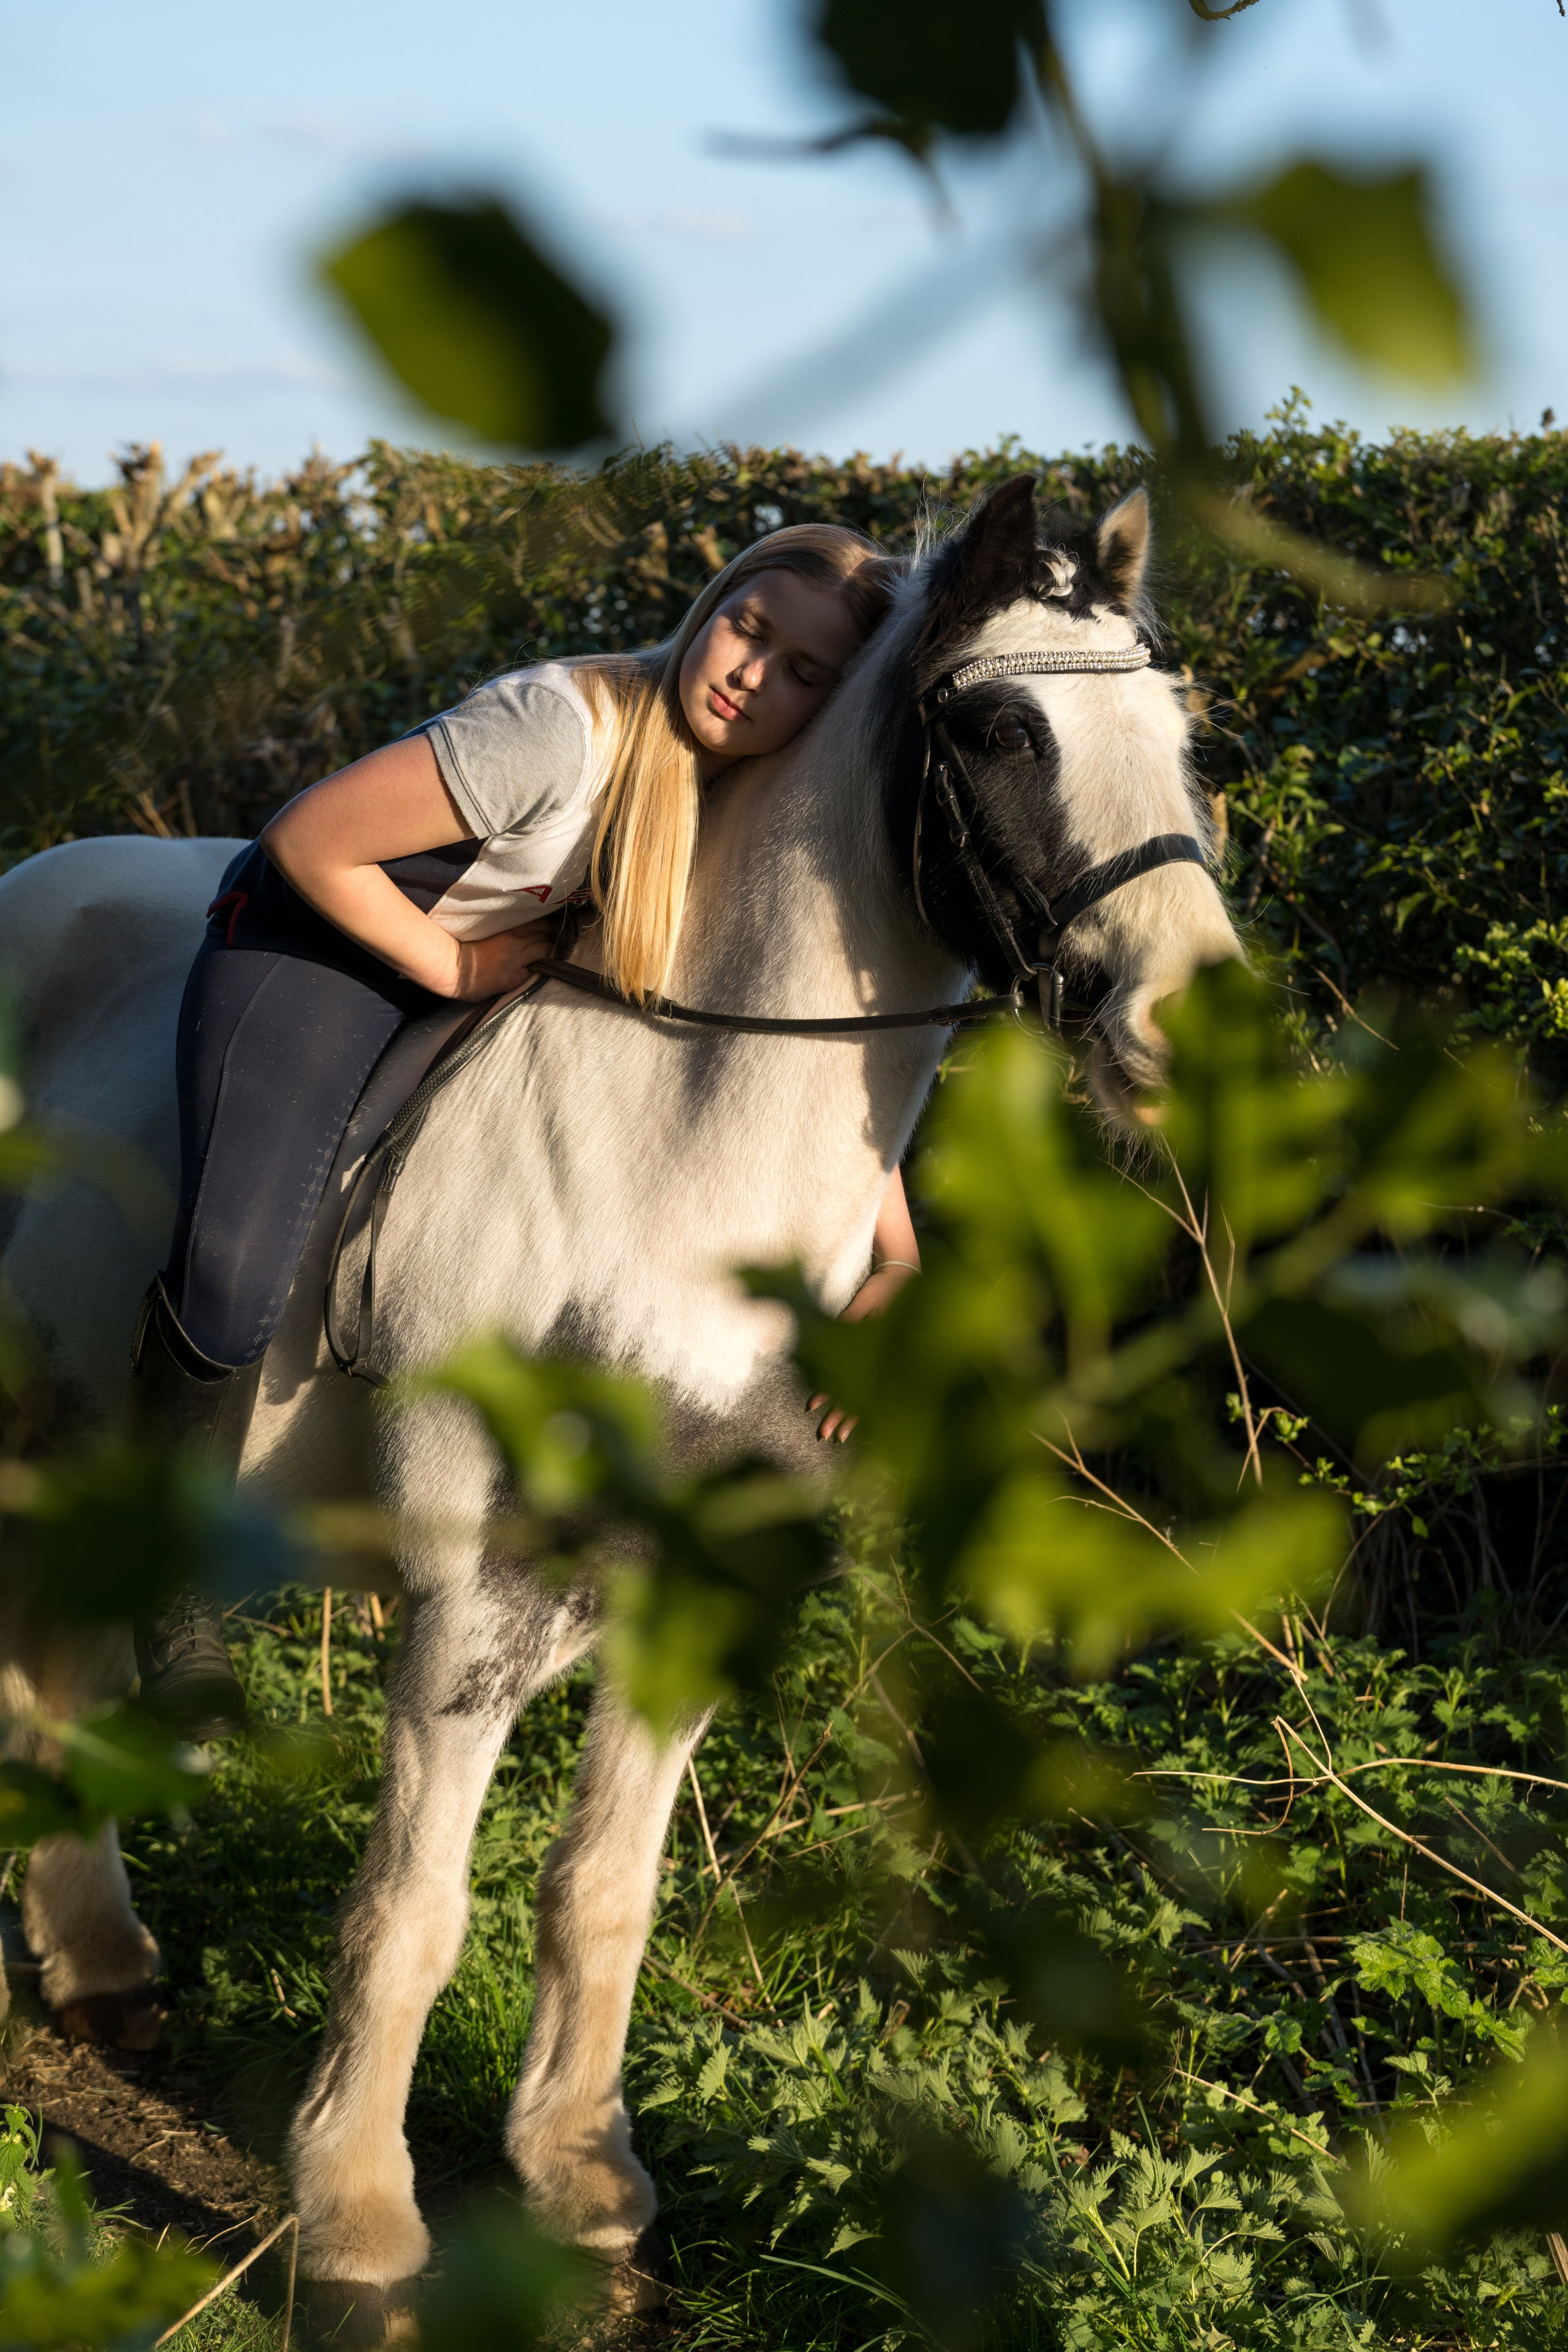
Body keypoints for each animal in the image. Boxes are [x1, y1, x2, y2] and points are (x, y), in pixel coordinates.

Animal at [0, 474, 1240, 2318]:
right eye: (1000, 728)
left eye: (1177, 728)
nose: (1185, 1023)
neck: (670, 1159)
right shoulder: (472, 1597)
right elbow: (411, 1910)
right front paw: (358, 2225)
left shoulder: (696, 1582)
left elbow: (604, 1892)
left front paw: (583, 2178)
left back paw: (99, 1965)